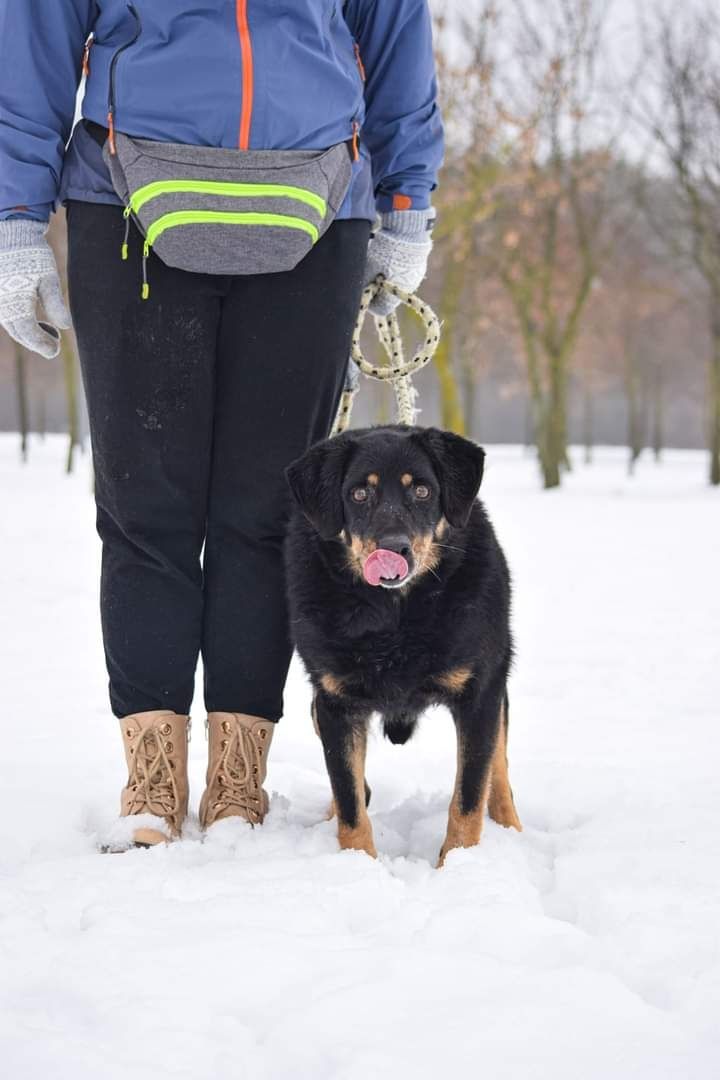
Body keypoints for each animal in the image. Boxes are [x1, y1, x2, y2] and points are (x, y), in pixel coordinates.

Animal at [282, 425, 524, 864]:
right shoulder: (334, 701)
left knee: (497, 768)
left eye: (423, 491)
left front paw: (458, 865)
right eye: (360, 493)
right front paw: (358, 864)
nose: (393, 548)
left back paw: (509, 827)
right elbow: (349, 800)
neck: (395, 618)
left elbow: (468, 797)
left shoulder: (480, 691)